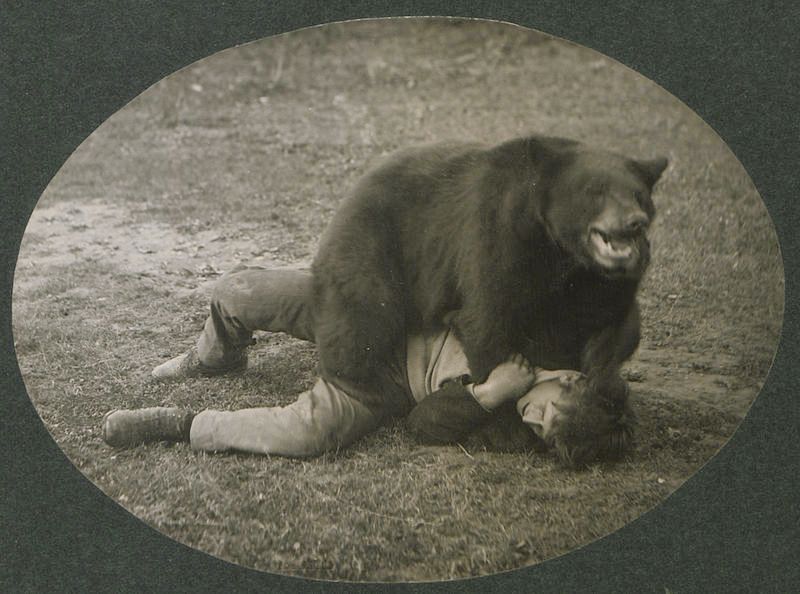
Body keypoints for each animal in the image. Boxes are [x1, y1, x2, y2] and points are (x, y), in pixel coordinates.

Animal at [310, 135, 667, 416]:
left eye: (639, 195)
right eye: (596, 190)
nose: (634, 221)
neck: (563, 253)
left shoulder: (606, 281)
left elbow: (615, 324)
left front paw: (607, 385)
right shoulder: (500, 237)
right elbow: (487, 319)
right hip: (374, 242)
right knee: (365, 310)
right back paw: (364, 383)